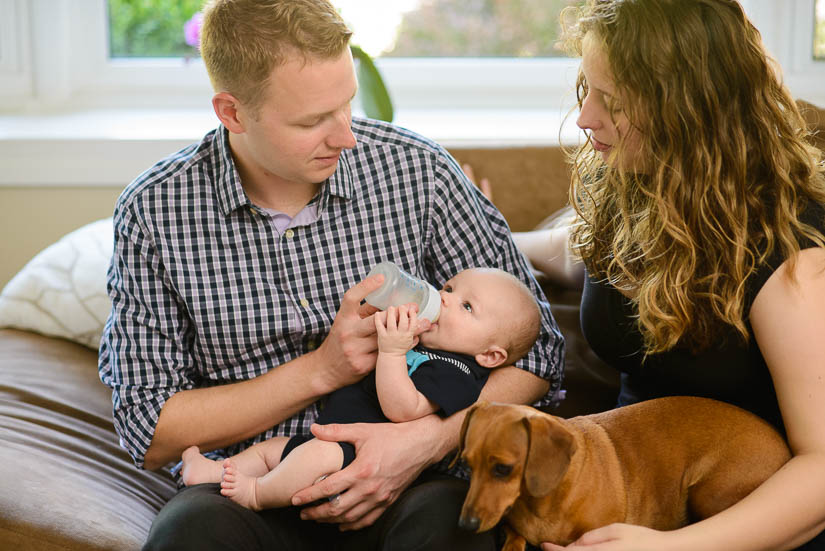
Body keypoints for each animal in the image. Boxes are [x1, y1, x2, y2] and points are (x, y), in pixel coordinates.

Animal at [458, 398, 792, 548]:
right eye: (467, 464)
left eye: (503, 469)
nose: (464, 525)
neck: (541, 505)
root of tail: (784, 448)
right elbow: (514, 538)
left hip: (707, 493)